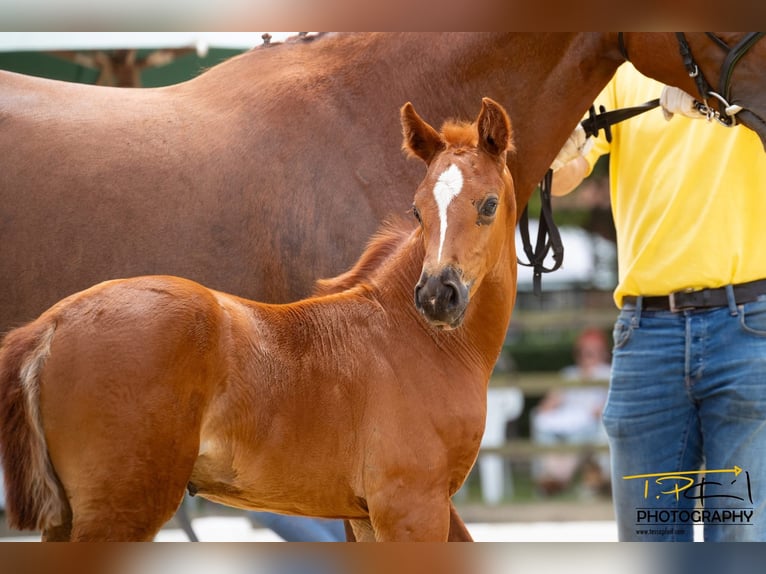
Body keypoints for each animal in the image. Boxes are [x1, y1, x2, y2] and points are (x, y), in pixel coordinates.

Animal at [0, 97, 516, 542]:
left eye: (489, 204)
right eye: (417, 208)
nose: (436, 297)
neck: (409, 340)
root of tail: (50, 326)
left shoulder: (368, 516)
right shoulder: (411, 507)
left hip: (67, 518)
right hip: (122, 510)